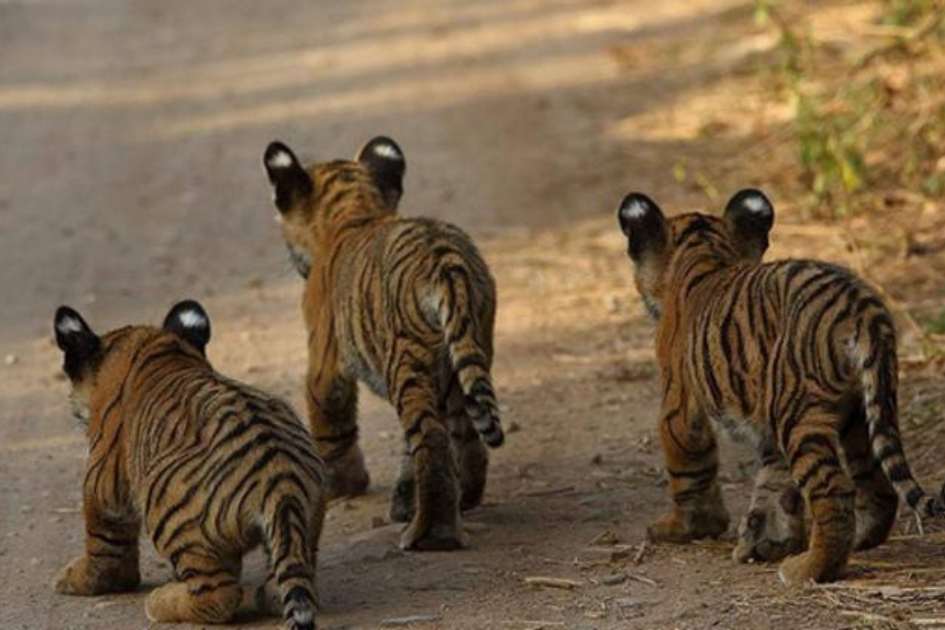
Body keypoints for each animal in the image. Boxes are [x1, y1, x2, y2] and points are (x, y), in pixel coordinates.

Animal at [52, 300, 325, 628]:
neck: (156, 346)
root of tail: (281, 480)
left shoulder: (104, 485)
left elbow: (103, 543)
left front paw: (76, 579)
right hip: (306, 523)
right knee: (282, 585)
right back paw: (257, 594)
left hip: (169, 517)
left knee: (219, 597)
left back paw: (160, 602)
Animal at [261, 135, 503, 551]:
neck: (354, 211)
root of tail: (445, 256)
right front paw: (404, 501)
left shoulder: (326, 360)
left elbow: (329, 418)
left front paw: (339, 484)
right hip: (466, 356)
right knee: (465, 433)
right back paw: (466, 500)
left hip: (409, 360)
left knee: (433, 441)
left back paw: (431, 534)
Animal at [616, 188, 945, 585]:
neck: (703, 252)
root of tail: (859, 306)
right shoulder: (766, 422)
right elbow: (773, 483)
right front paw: (769, 541)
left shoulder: (680, 404)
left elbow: (689, 468)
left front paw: (684, 528)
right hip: (858, 411)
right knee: (878, 486)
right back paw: (852, 542)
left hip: (795, 410)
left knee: (835, 491)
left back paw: (807, 568)